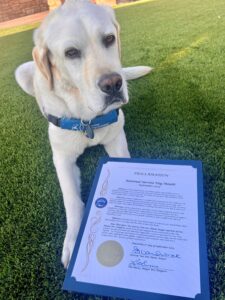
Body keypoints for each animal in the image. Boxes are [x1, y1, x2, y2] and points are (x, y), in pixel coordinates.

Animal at [14, 0, 152, 268]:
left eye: (109, 39)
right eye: (71, 53)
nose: (113, 84)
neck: (87, 118)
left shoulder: (117, 141)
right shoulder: (61, 158)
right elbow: (70, 199)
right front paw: (73, 241)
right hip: (22, 70)